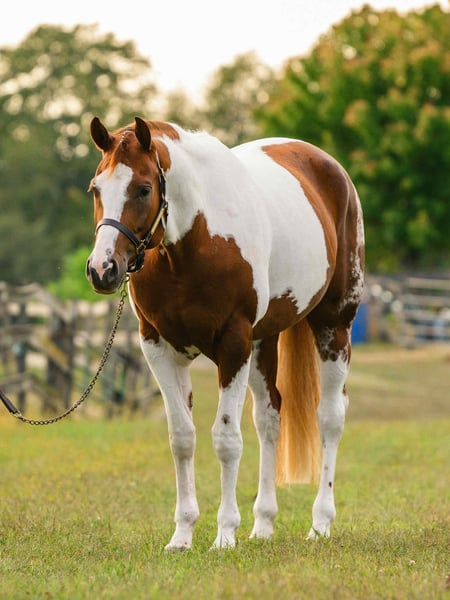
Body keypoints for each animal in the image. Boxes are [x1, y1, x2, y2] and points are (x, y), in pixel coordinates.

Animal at [86, 116, 364, 551]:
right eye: (96, 188)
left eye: (144, 188)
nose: (103, 270)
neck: (193, 243)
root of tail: (328, 166)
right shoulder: (158, 348)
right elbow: (182, 438)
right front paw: (182, 535)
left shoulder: (233, 345)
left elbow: (226, 440)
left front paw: (224, 534)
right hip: (264, 342)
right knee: (269, 418)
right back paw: (263, 524)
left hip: (333, 326)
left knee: (330, 418)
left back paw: (320, 523)